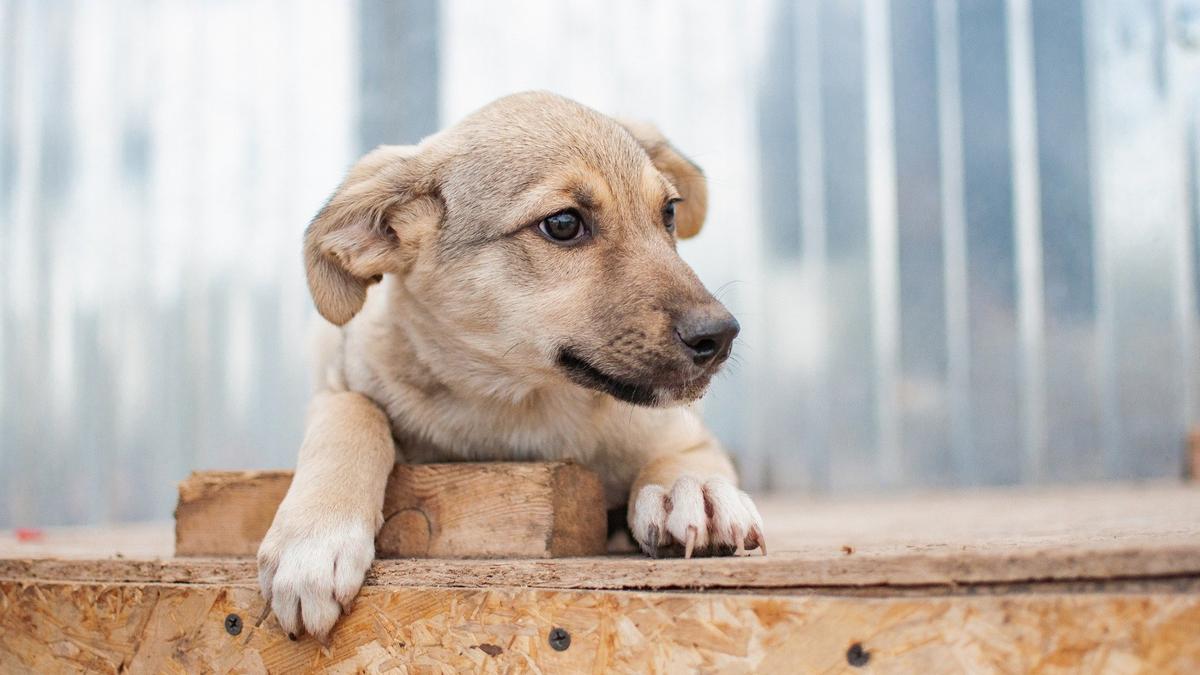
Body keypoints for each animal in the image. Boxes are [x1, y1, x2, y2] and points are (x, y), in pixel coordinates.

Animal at [261, 91, 768, 638]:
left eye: (669, 212)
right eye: (563, 224)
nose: (720, 336)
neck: (520, 404)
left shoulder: (679, 428)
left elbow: (686, 458)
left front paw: (694, 493)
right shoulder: (340, 381)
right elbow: (353, 416)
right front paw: (314, 540)